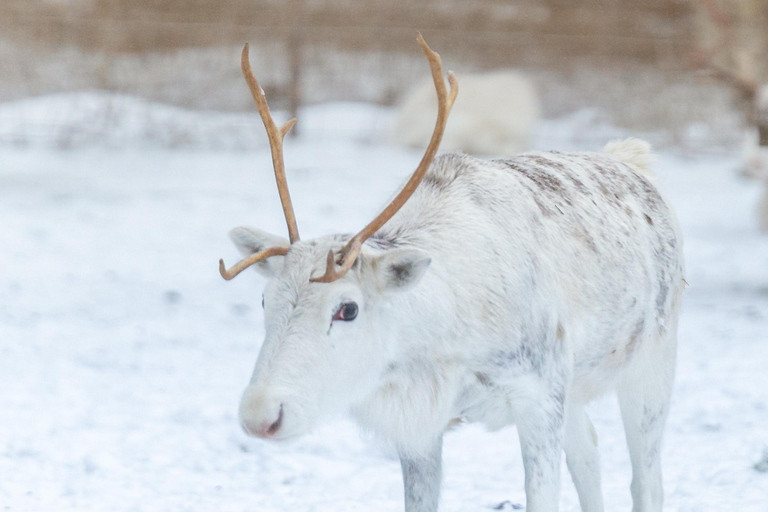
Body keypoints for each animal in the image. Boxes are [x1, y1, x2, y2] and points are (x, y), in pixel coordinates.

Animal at [220, 35, 685, 512]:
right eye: (264, 300)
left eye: (347, 309)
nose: (261, 415)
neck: (445, 338)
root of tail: (631, 160)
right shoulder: (421, 427)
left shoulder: (539, 396)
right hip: (575, 390)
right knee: (589, 455)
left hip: (652, 361)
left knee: (646, 480)